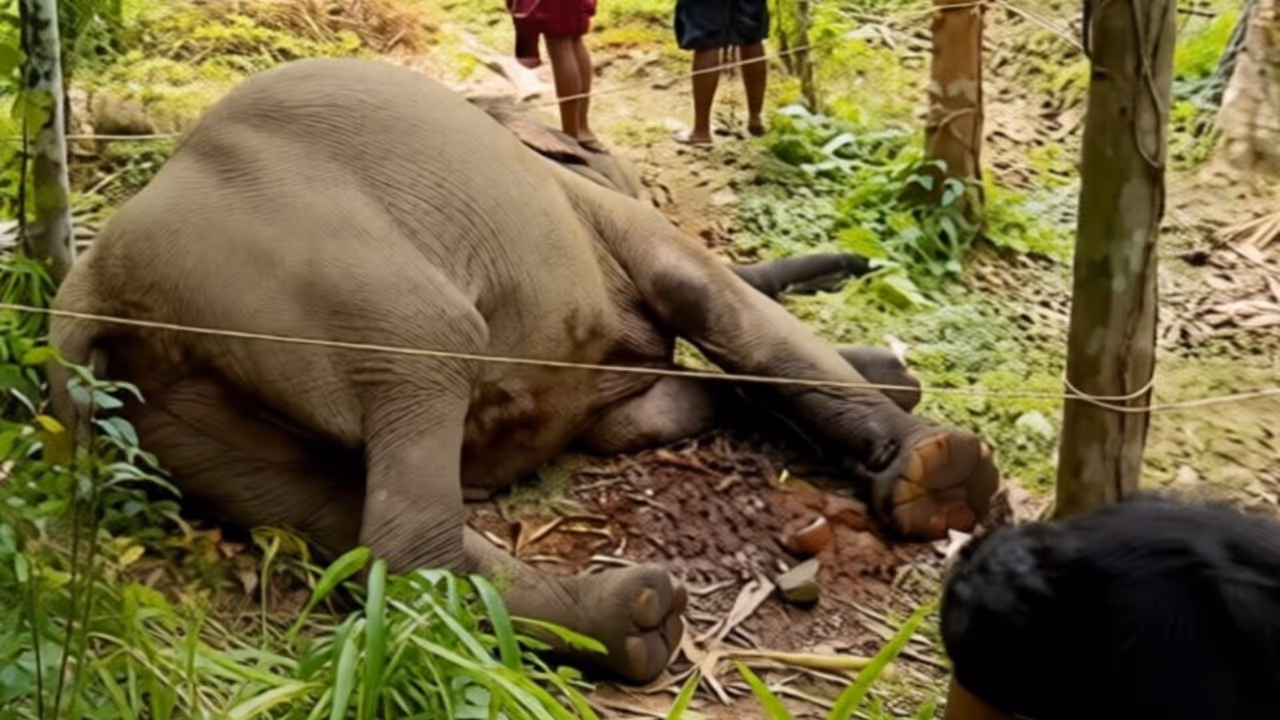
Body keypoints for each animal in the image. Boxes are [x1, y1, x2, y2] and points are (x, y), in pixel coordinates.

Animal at [48, 58, 1000, 685]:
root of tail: (97, 291)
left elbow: (652, 413)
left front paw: (893, 384)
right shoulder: (597, 214)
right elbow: (713, 301)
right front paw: (939, 474)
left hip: (168, 413)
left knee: (318, 507)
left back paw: (635, 624)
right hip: (335, 288)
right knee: (405, 487)